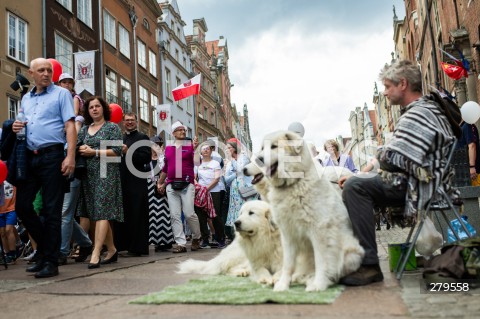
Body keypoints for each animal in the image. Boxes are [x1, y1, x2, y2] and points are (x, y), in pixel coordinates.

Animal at [246, 131, 366, 292]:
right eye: (262, 148)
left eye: (274, 146)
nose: (258, 160)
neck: (292, 185)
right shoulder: (287, 234)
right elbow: (287, 264)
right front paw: (283, 285)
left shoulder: (319, 231)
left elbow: (322, 261)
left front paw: (318, 285)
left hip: (350, 251)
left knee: (335, 272)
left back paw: (316, 281)